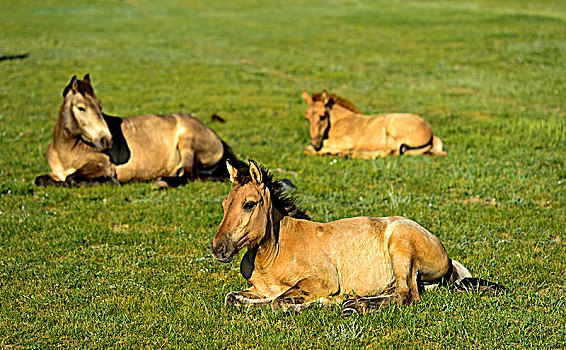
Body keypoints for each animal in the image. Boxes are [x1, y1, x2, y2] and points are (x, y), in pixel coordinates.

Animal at [213, 160, 506, 316]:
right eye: (225, 204)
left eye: (249, 204)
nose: (218, 248)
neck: (273, 254)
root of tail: (446, 256)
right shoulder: (258, 288)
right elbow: (236, 298)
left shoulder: (321, 279)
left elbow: (279, 302)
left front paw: (326, 301)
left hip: (401, 245)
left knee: (407, 295)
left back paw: (353, 304)